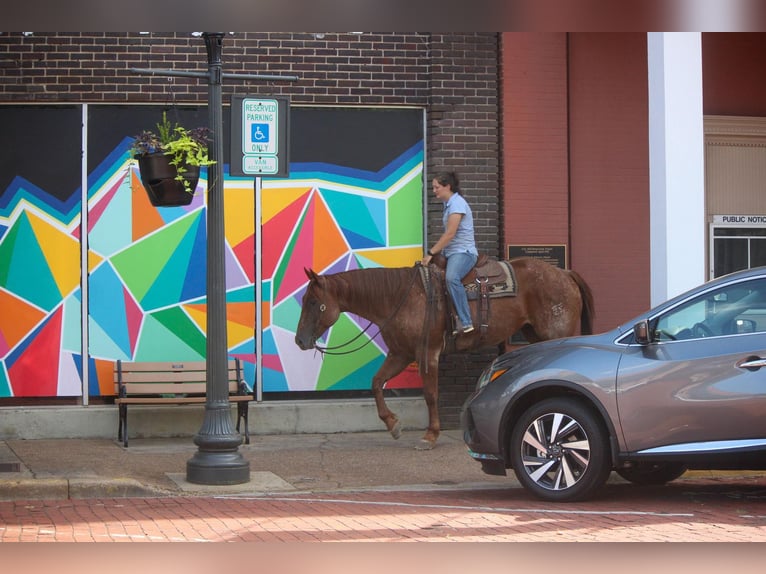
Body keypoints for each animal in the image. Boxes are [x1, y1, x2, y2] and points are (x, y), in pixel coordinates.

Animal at [294, 256, 592, 450]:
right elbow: (377, 383)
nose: (299, 340)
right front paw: (393, 425)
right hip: (535, 334)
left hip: (556, 333)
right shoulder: (400, 353)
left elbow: (430, 394)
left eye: (313, 302)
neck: (398, 297)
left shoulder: (427, 353)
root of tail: (565, 273)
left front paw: (430, 436)